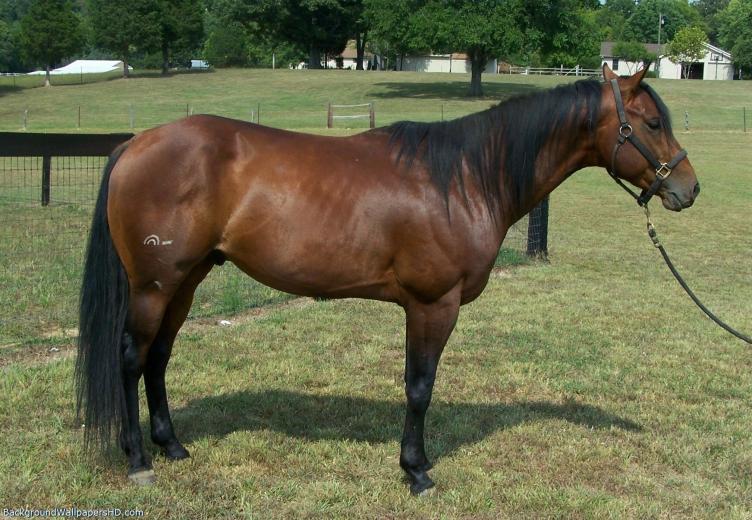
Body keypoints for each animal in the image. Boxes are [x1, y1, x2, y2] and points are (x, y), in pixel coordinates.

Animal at [76, 64, 699, 494]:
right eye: (650, 123)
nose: (688, 189)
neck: (464, 179)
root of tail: (136, 142)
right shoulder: (432, 305)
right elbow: (419, 387)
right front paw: (416, 470)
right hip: (154, 286)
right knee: (132, 358)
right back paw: (138, 460)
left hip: (187, 281)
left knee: (158, 359)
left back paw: (173, 446)